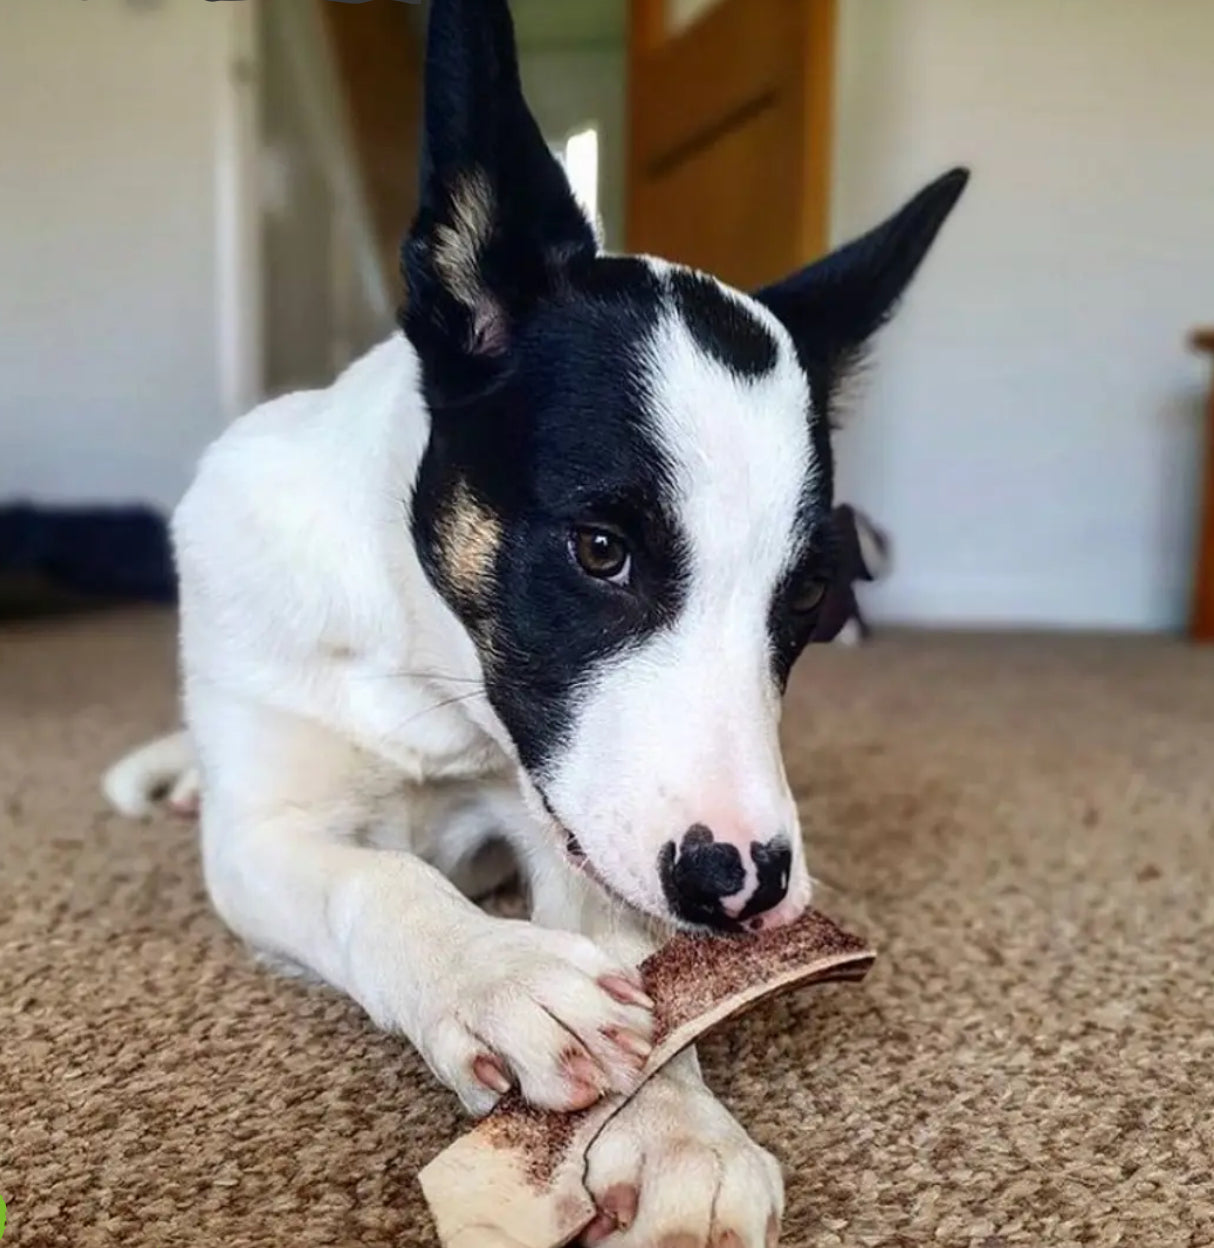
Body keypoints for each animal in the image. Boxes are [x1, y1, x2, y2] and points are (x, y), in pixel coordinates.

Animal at [99, 4, 963, 1243]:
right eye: (600, 550)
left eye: (804, 598)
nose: (744, 890)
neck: (425, 673)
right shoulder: (259, 838)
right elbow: (376, 879)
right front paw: (489, 975)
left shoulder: (563, 819)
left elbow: (623, 939)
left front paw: (675, 1127)